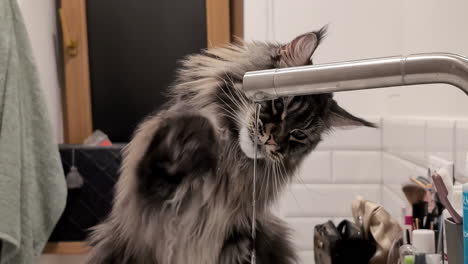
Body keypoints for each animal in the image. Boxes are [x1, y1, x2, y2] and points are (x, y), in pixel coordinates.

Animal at [86, 27, 374, 264]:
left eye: (298, 135)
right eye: (278, 104)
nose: (274, 142)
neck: (230, 163)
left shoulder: (241, 234)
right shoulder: (151, 194)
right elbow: (179, 141)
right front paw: (199, 128)